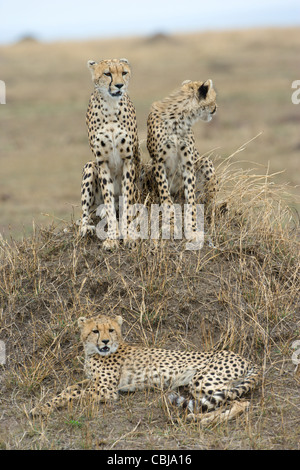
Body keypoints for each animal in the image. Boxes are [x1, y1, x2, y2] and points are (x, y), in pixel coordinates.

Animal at [31, 314, 260, 420]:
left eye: (111, 330)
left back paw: (200, 420)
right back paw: (198, 418)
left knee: (241, 402)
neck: (94, 352)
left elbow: (71, 395)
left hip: (203, 380)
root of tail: (247, 358)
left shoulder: (106, 390)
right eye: (95, 331)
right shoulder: (92, 381)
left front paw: (42, 408)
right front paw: (43, 405)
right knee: (227, 402)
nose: (105, 341)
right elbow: (69, 389)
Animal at [78, 58, 139, 250]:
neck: (111, 108)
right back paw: (87, 227)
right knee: (86, 212)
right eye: (107, 73)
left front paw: (128, 235)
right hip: (90, 166)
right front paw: (112, 237)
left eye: (124, 72)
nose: (119, 85)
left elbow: (127, 202)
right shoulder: (102, 162)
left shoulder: (128, 160)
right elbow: (109, 201)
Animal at [147, 80, 218, 239]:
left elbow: (191, 199)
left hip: (205, 163)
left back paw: (212, 229)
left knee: (211, 207)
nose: (216, 108)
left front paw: (192, 229)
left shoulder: (188, 163)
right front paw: (171, 225)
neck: (179, 119)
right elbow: (166, 198)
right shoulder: (158, 162)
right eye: (214, 97)